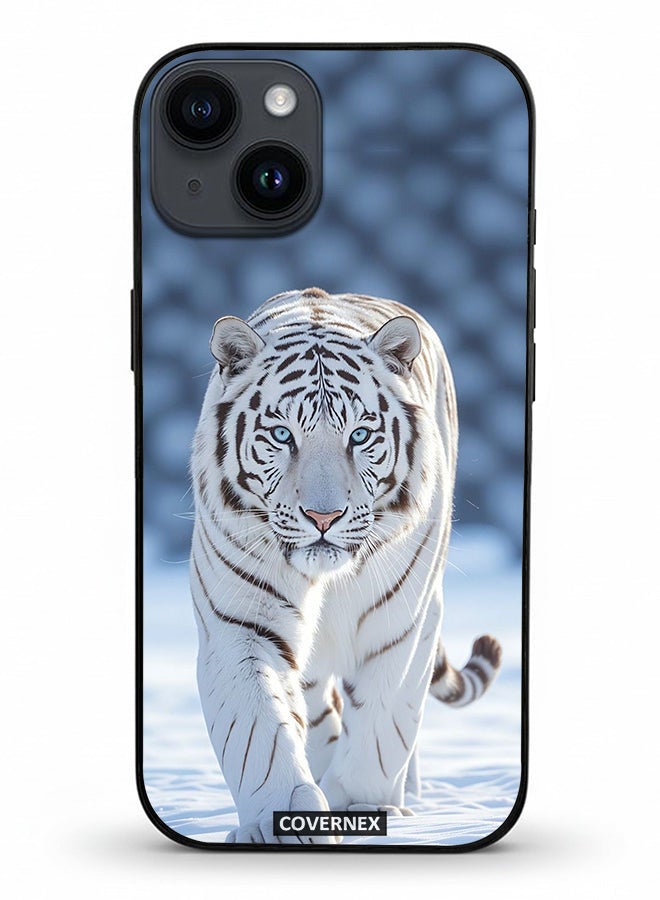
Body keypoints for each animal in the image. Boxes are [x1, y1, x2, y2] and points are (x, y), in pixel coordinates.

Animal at [190, 288, 502, 844]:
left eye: (359, 436)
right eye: (281, 434)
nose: (323, 517)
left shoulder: (401, 624)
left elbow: (382, 723)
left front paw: (361, 805)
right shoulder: (241, 624)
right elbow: (258, 731)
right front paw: (283, 823)